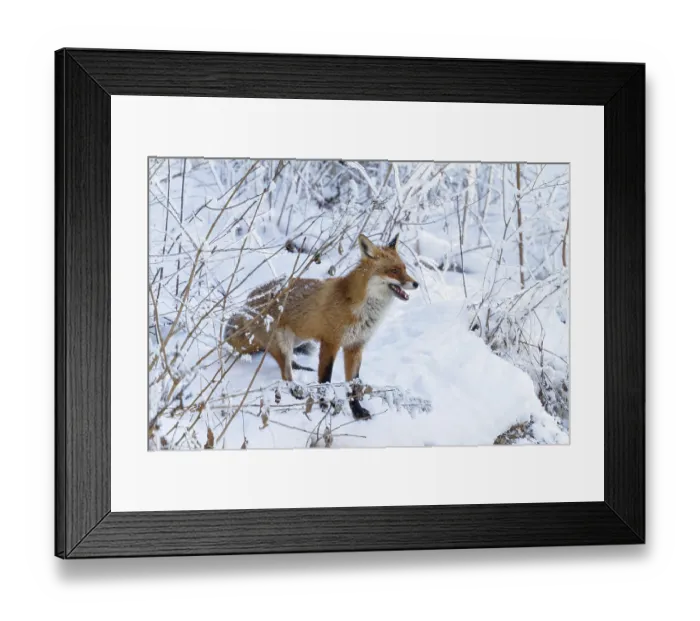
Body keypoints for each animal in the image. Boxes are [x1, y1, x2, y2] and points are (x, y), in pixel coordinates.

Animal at [224, 233, 419, 420]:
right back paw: (296, 390)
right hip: (282, 342)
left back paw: (300, 367)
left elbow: (353, 385)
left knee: (286, 362)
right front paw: (325, 406)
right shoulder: (330, 343)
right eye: (393, 271)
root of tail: (248, 301)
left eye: (405, 269)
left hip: (297, 339)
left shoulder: (355, 346)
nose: (416, 284)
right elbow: (325, 379)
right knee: (285, 374)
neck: (361, 307)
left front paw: (357, 411)